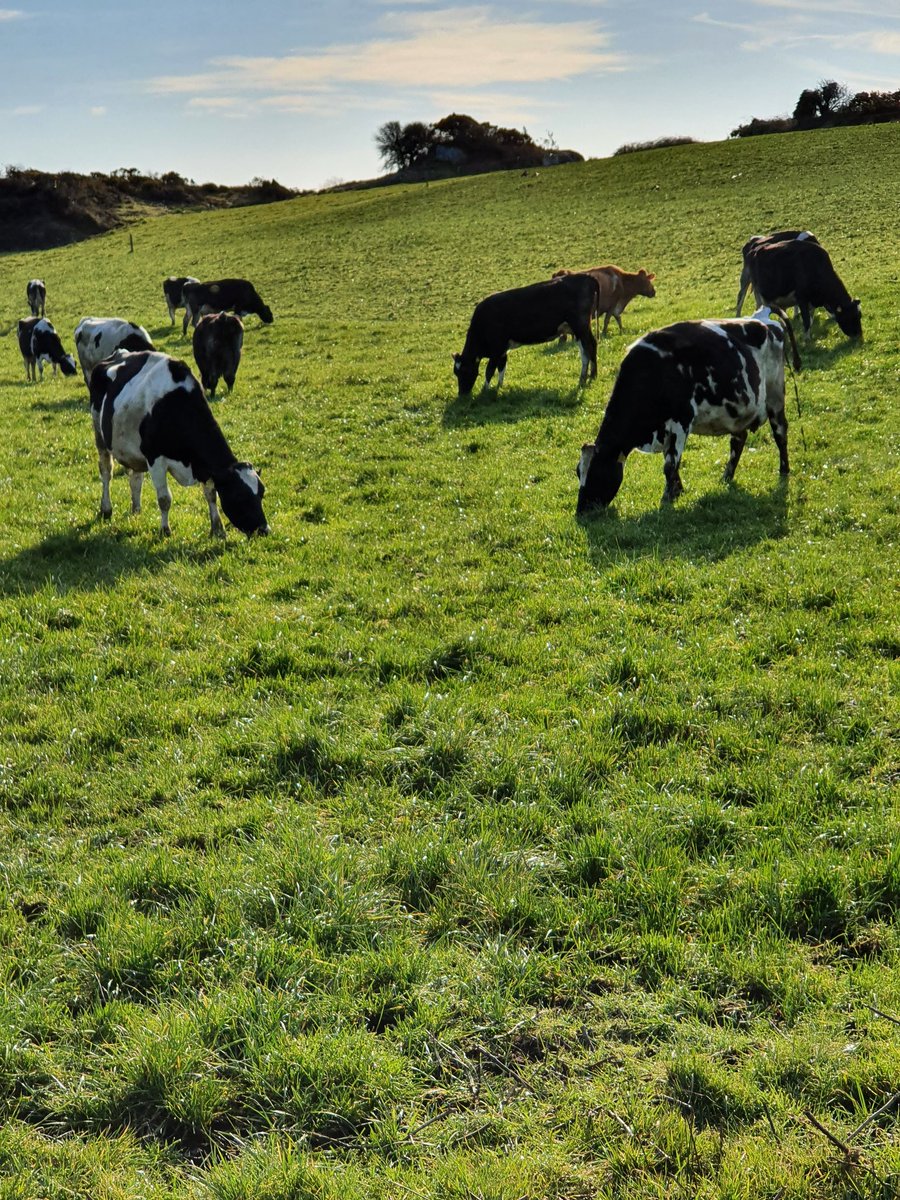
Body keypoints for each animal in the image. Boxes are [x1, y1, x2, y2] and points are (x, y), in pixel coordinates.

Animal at [88, 350, 268, 538]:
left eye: (262, 493)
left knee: (136, 478)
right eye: (240, 496)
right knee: (106, 471)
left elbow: (211, 494)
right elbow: (164, 499)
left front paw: (218, 529)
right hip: (98, 430)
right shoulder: (155, 458)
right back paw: (106, 509)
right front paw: (165, 530)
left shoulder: (204, 468)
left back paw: (136, 510)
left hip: (133, 449)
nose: (265, 529)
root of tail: (118, 354)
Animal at [453, 273, 600, 395]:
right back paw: (588, 376)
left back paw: (587, 378)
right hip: (579, 329)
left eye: (464, 370)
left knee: (588, 348)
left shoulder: (496, 349)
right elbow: (502, 367)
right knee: (589, 348)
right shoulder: (502, 350)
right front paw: (499, 387)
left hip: (580, 326)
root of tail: (587, 276)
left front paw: (484, 391)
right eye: (455, 372)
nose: (462, 394)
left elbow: (489, 371)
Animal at [575, 309, 799, 515]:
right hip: (739, 411)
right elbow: (671, 461)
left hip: (775, 395)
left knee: (780, 433)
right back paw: (726, 476)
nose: (581, 512)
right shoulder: (666, 428)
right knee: (738, 440)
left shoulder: (680, 421)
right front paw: (677, 491)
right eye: (578, 472)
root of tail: (762, 315)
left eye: (596, 472)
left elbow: (670, 464)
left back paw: (784, 470)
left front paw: (667, 498)